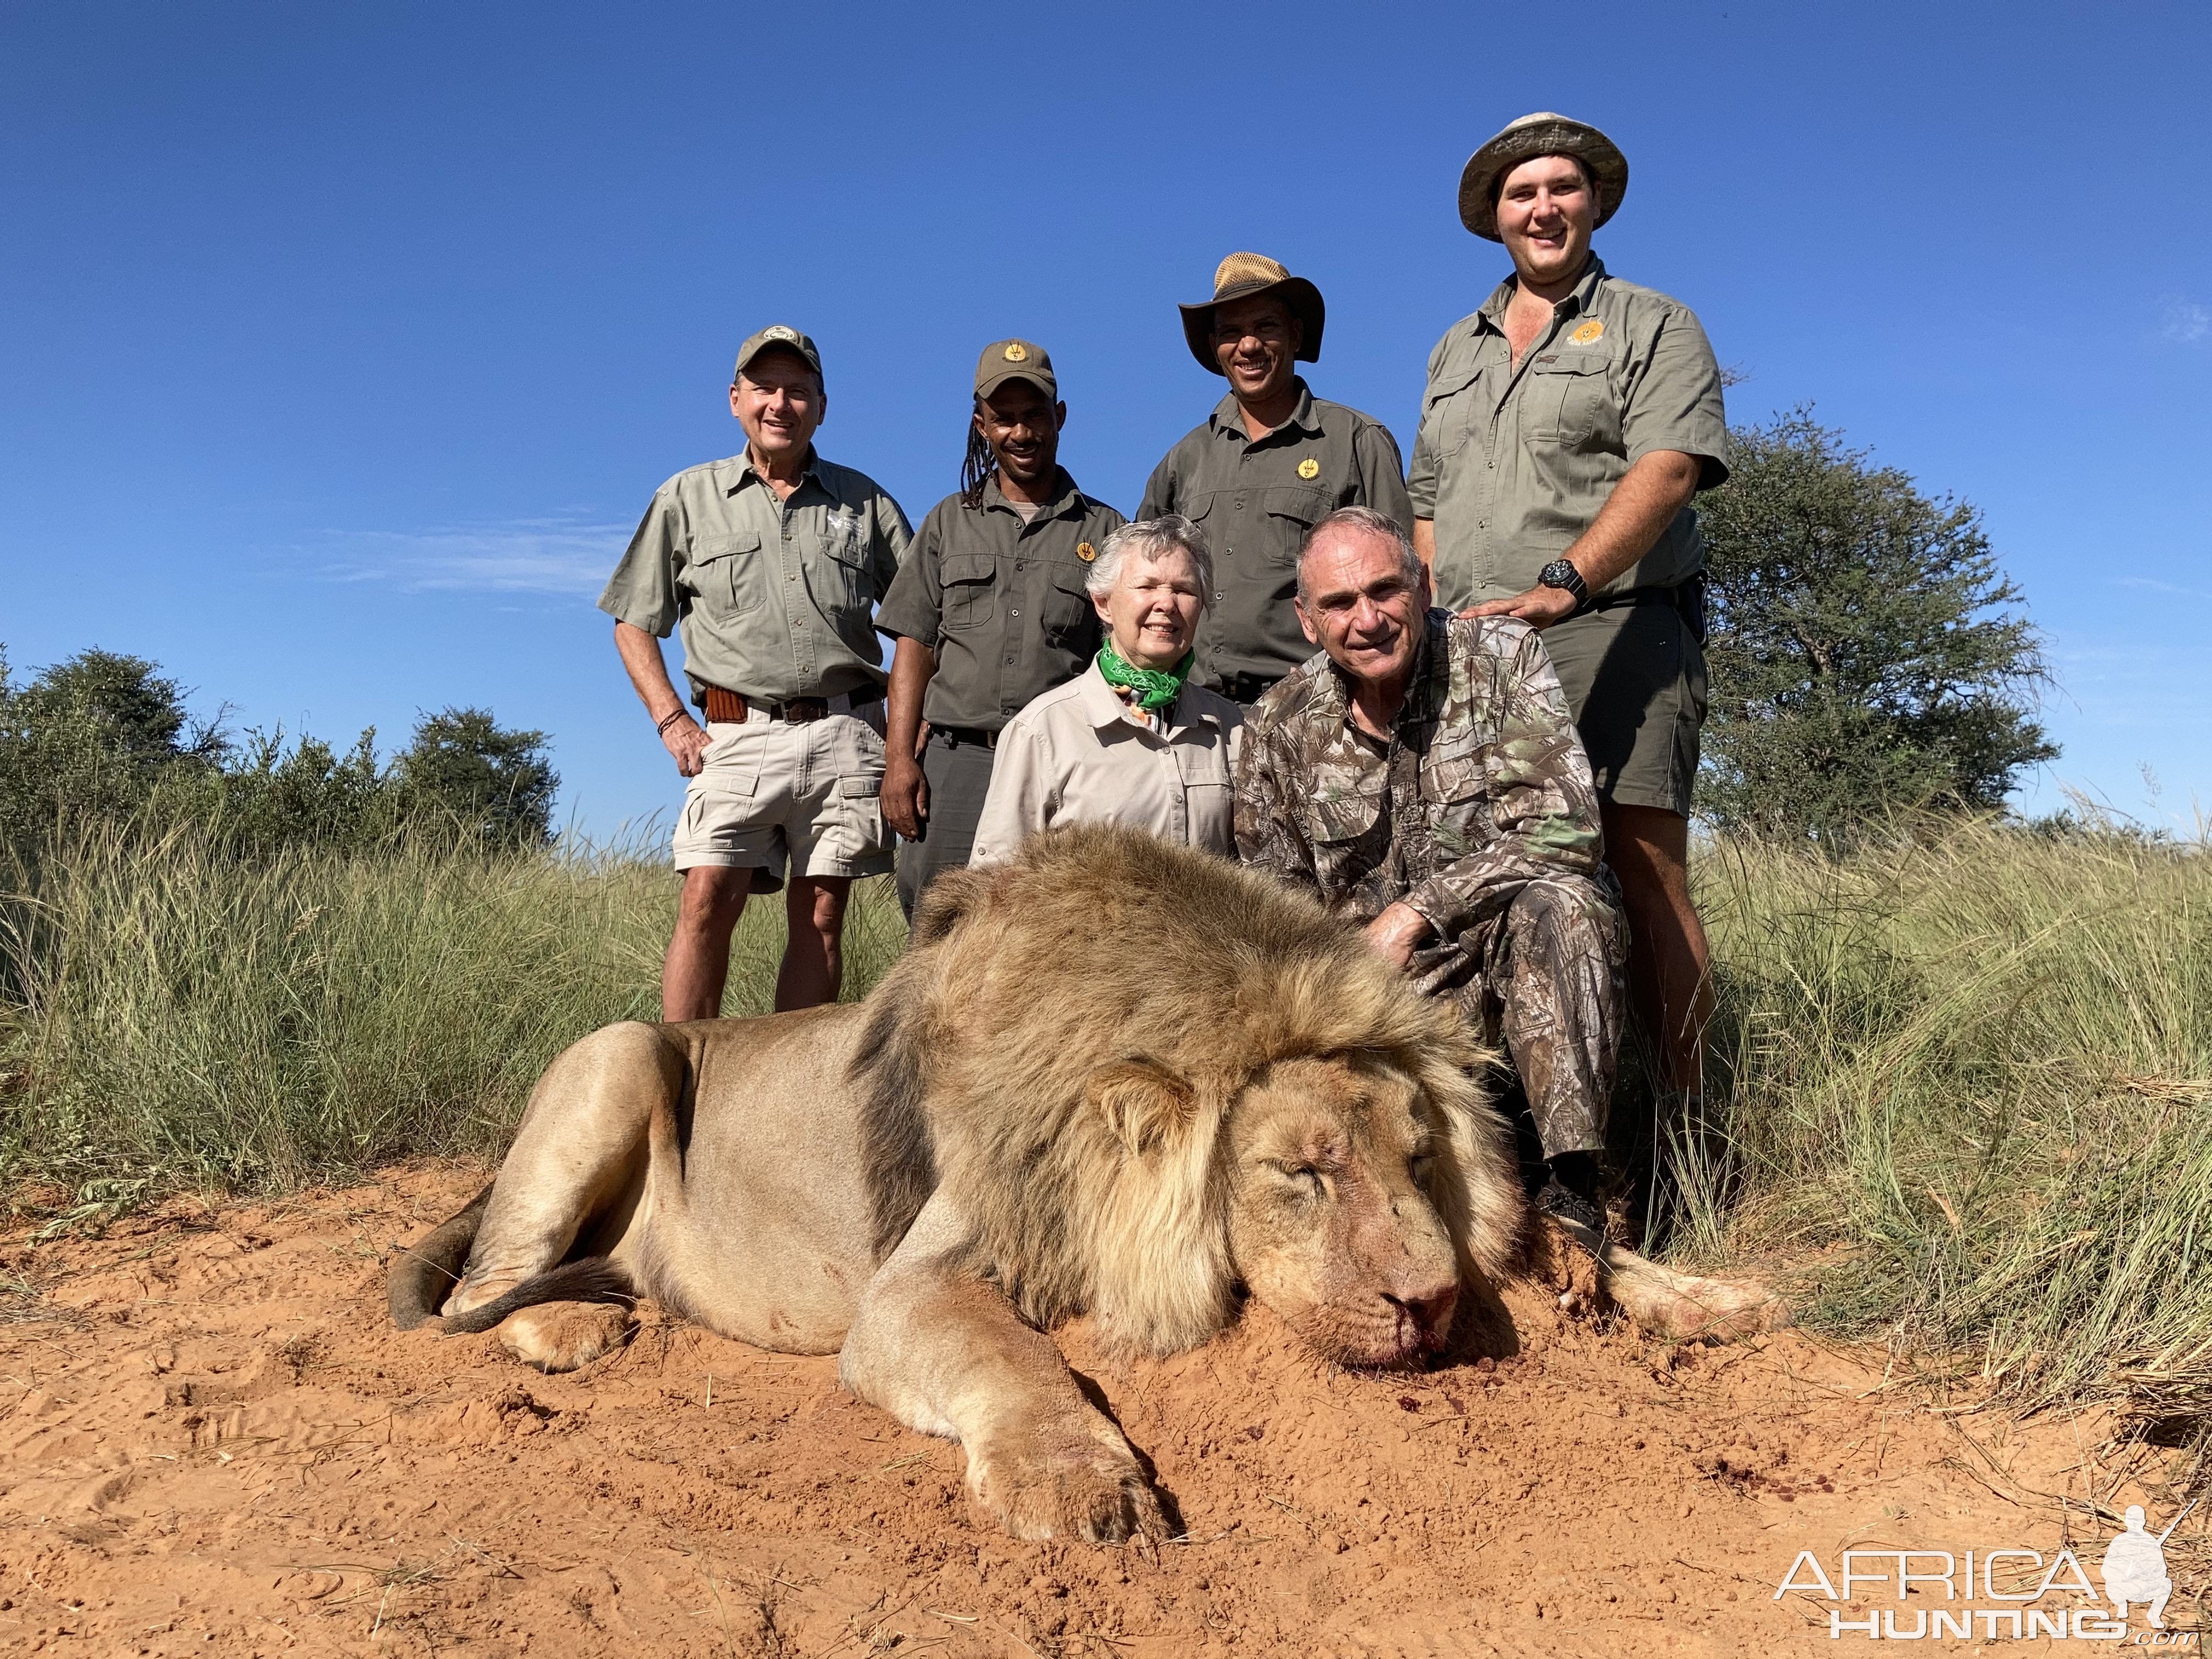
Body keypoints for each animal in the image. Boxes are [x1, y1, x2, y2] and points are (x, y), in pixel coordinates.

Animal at [389, 827, 1787, 1548]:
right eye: (1297, 1173)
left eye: (1422, 1159)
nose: (1432, 1309)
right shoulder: (917, 1285)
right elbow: (1013, 1359)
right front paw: (1084, 1483)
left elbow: (1558, 1239)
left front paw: (1712, 1299)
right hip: (620, 1057)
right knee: (475, 1284)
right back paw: (566, 1327)